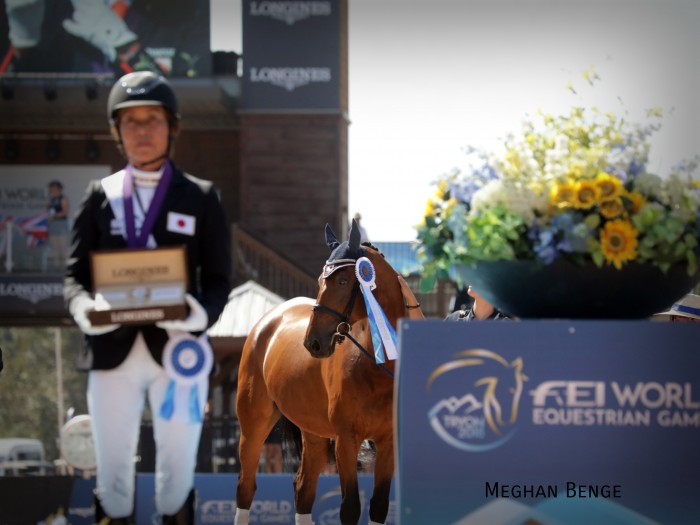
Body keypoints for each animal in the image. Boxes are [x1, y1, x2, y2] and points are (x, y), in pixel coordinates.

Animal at [235, 221, 422, 524]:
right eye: (320, 281)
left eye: (343, 281)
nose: (313, 342)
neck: (378, 366)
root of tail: (267, 321)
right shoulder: (346, 441)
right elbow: (350, 508)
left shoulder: (388, 443)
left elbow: (379, 506)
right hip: (254, 424)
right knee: (246, 487)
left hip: (313, 433)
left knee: (303, 489)